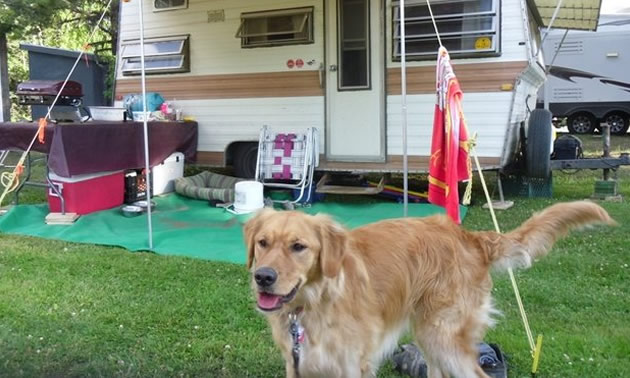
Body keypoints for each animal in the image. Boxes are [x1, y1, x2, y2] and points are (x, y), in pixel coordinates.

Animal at [246, 201, 616, 376]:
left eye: (299, 247)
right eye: (263, 243)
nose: (262, 276)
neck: (314, 302)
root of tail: (468, 236)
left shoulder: (353, 365)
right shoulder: (298, 364)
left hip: (443, 337)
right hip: (429, 338)